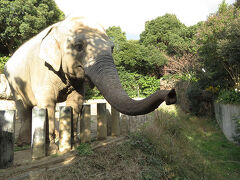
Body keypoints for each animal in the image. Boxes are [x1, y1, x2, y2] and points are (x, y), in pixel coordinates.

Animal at [3, 15, 176, 154]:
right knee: (23, 108)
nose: (171, 94)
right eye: (79, 46)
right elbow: (47, 103)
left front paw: (73, 146)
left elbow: (75, 102)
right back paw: (24, 144)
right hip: (13, 82)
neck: (59, 27)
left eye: (112, 48)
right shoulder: (43, 69)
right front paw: (52, 150)